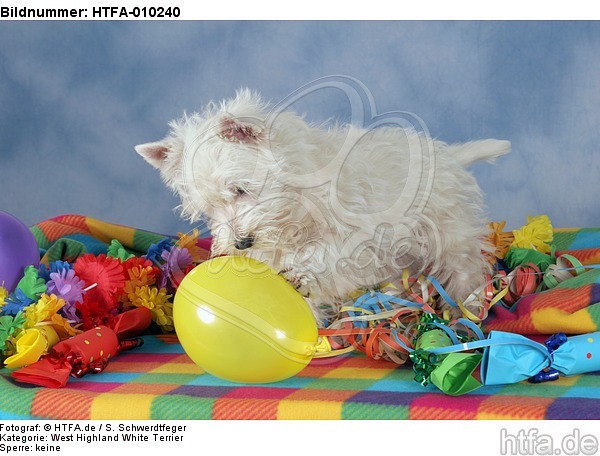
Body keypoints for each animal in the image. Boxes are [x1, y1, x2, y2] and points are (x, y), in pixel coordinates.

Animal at [137, 88, 510, 324]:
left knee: (465, 270)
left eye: (240, 189)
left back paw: (466, 311)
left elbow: (322, 255)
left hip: (449, 235)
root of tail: (452, 156)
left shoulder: (357, 234)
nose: (241, 244)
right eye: (208, 210)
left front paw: (304, 272)